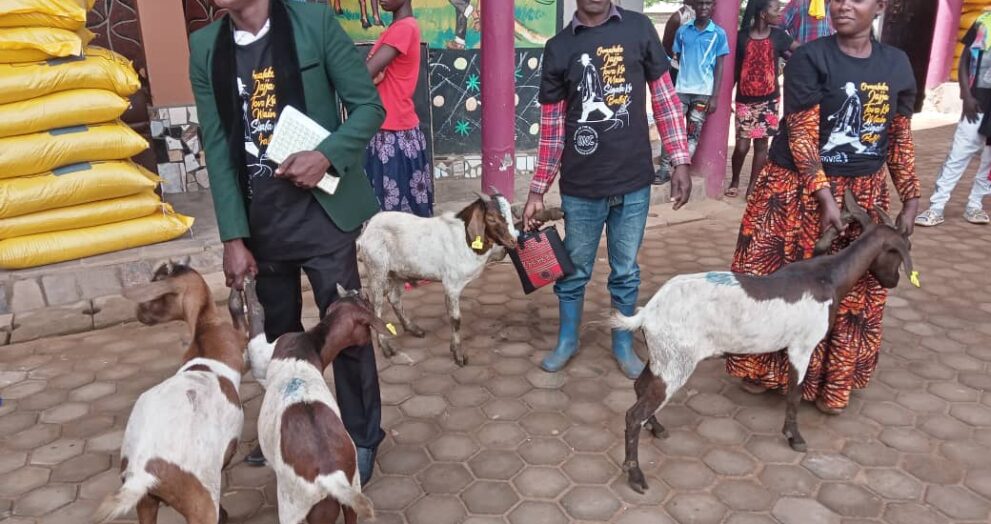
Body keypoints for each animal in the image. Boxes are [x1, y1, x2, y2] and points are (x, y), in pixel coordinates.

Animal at [244, 280, 392, 520]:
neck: (309, 343)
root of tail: (330, 477)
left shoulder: (264, 353)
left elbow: (256, 320)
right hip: (351, 488)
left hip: (293, 506)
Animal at [616, 190, 920, 494]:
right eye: (901, 248)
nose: (893, 281)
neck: (827, 277)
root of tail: (647, 313)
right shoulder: (802, 346)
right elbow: (794, 392)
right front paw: (794, 437)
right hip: (676, 363)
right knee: (633, 414)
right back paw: (635, 474)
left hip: (662, 357)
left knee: (640, 387)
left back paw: (656, 427)